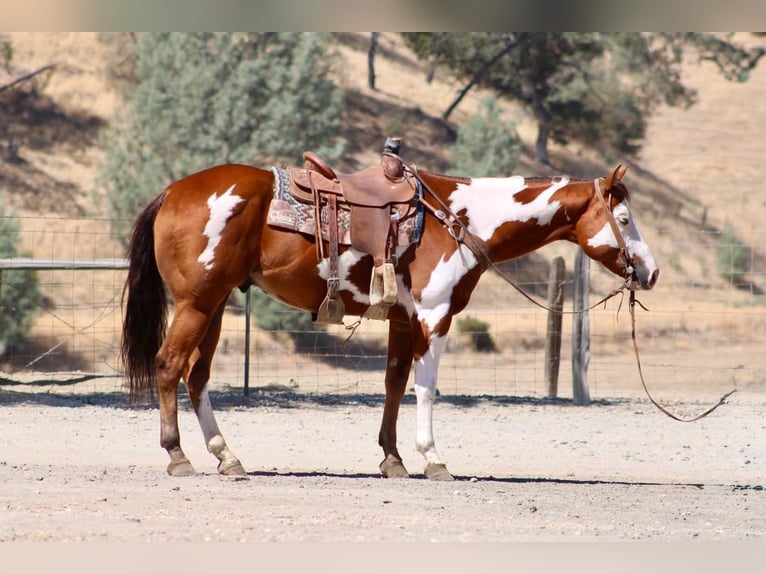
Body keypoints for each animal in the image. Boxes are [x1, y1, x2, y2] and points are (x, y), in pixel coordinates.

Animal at [121, 159, 659, 480]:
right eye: (624, 219)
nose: (651, 272)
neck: (460, 220)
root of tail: (173, 191)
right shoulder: (434, 317)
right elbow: (426, 388)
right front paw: (433, 458)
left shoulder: (403, 320)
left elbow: (395, 384)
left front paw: (392, 458)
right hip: (196, 304)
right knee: (170, 365)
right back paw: (178, 456)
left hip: (212, 307)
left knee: (197, 376)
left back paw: (227, 456)